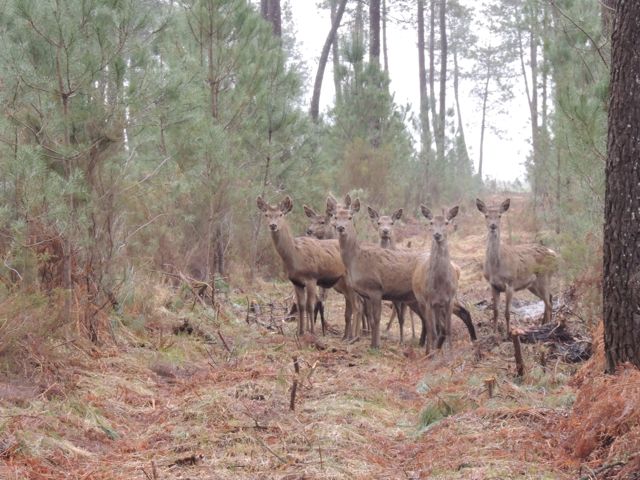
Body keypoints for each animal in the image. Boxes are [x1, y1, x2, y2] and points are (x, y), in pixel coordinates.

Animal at [255, 195, 358, 338]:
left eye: (281, 214)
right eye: (267, 215)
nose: (273, 225)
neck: (295, 256)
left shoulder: (311, 278)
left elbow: (310, 305)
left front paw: (312, 332)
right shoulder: (296, 282)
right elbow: (301, 306)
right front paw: (300, 332)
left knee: (356, 303)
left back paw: (354, 335)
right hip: (341, 280)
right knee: (350, 302)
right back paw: (346, 335)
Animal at [368, 204, 418, 344]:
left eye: (391, 222)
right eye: (379, 222)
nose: (385, 231)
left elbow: (402, 317)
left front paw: (402, 340)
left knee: (410, 312)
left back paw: (413, 335)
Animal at [412, 204, 462, 354]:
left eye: (446, 222)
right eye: (431, 222)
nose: (437, 235)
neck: (440, 285)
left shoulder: (449, 299)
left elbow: (448, 329)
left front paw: (450, 354)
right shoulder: (428, 301)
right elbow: (432, 331)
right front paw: (433, 355)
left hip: (438, 306)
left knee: (439, 328)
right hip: (421, 301)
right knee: (429, 328)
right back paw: (428, 351)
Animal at [476, 197, 560, 336]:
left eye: (499, 216)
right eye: (486, 215)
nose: (493, 226)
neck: (495, 266)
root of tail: (553, 253)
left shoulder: (510, 283)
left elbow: (507, 312)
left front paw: (508, 333)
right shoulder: (493, 285)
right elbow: (495, 312)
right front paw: (494, 333)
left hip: (544, 277)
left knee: (548, 302)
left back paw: (547, 326)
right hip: (533, 284)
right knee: (550, 298)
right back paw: (544, 324)